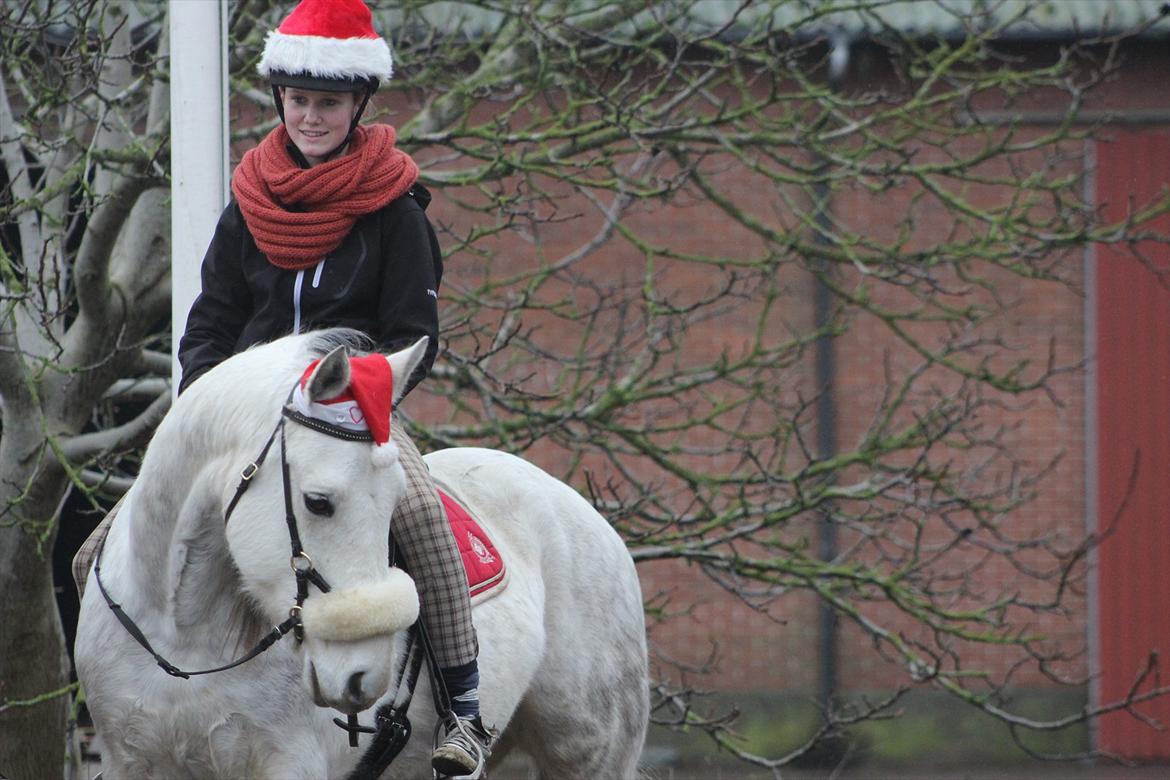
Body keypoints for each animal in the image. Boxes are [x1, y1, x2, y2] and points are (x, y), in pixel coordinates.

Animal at [75, 332, 650, 780]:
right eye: (317, 501)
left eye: (396, 502)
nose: (363, 679)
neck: (186, 646)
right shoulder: (133, 762)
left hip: (590, 757)